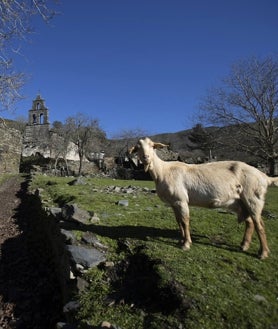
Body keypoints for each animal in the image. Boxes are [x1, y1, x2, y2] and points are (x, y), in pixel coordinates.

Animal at [130, 136, 278, 258]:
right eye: (137, 148)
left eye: (152, 146)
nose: (146, 157)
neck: (163, 171)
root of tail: (264, 176)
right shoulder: (174, 202)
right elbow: (179, 221)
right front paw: (181, 240)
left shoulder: (181, 200)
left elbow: (185, 221)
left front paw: (186, 244)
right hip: (240, 202)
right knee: (250, 222)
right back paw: (244, 245)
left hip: (253, 197)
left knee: (259, 224)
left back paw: (263, 253)